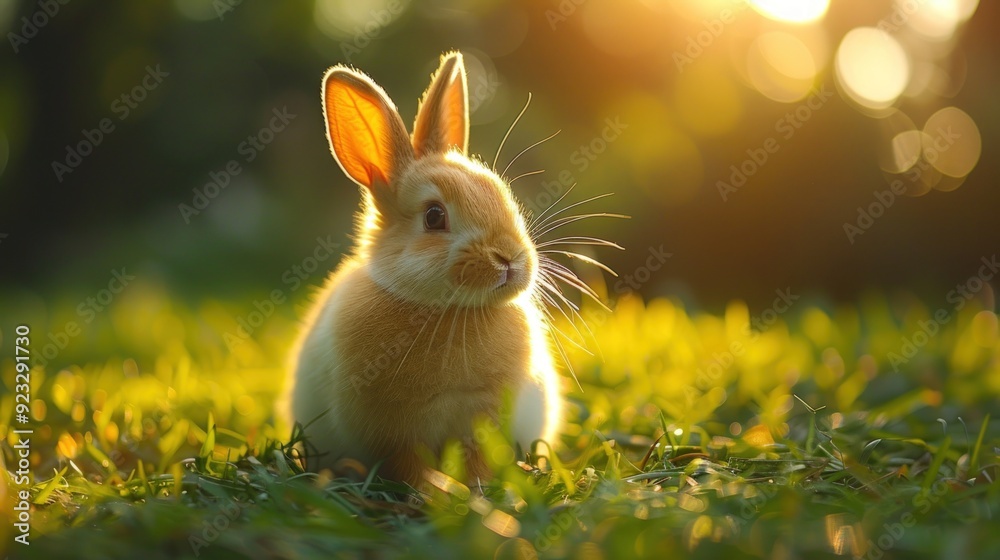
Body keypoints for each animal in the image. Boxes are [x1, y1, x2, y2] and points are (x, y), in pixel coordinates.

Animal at [283, 52, 565, 486]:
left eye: (501, 193)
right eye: (434, 216)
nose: (509, 260)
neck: (446, 311)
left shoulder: (480, 421)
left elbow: (476, 458)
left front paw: (479, 490)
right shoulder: (392, 432)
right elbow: (409, 464)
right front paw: (436, 492)